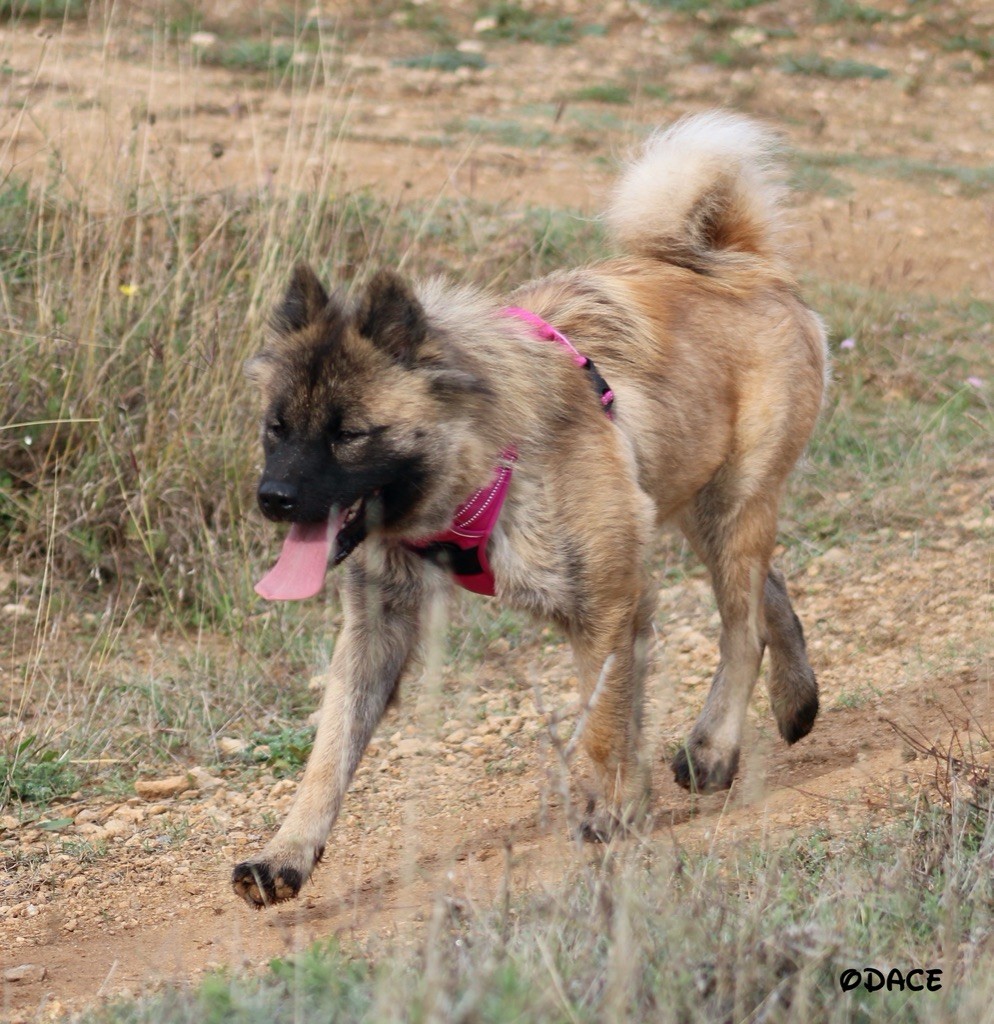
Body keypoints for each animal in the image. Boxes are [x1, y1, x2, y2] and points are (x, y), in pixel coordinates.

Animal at [231, 112, 823, 909]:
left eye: (349, 433)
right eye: (278, 427)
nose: (274, 500)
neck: (483, 460)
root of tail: (741, 263)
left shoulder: (607, 603)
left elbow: (603, 726)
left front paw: (613, 812)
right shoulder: (377, 628)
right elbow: (328, 756)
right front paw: (285, 855)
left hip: (728, 510)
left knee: (742, 629)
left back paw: (714, 748)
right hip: (694, 508)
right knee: (771, 594)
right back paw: (795, 702)